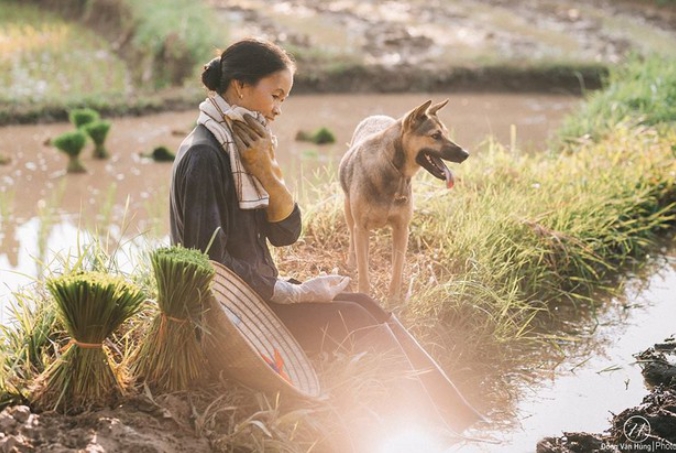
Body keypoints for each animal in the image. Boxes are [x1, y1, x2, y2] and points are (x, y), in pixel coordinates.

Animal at [338, 99, 470, 298]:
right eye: (435, 136)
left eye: (446, 134)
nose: (466, 154)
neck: (393, 168)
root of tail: (377, 115)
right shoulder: (362, 228)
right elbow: (364, 271)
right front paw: (365, 293)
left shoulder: (401, 229)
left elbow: (397, 268)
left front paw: (394, 298)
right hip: (348, 210)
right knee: (352, 237)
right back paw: (352, 262)